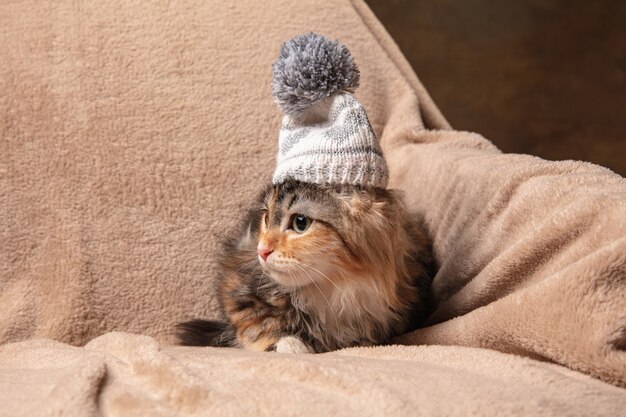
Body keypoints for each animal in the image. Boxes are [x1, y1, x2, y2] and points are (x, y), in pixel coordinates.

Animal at [174, 180, 428, 354]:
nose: (261, 251)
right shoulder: (236, 289)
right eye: (266, 218)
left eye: (300, 223)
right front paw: (293, 346)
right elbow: (261, 329)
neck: (334, 290)